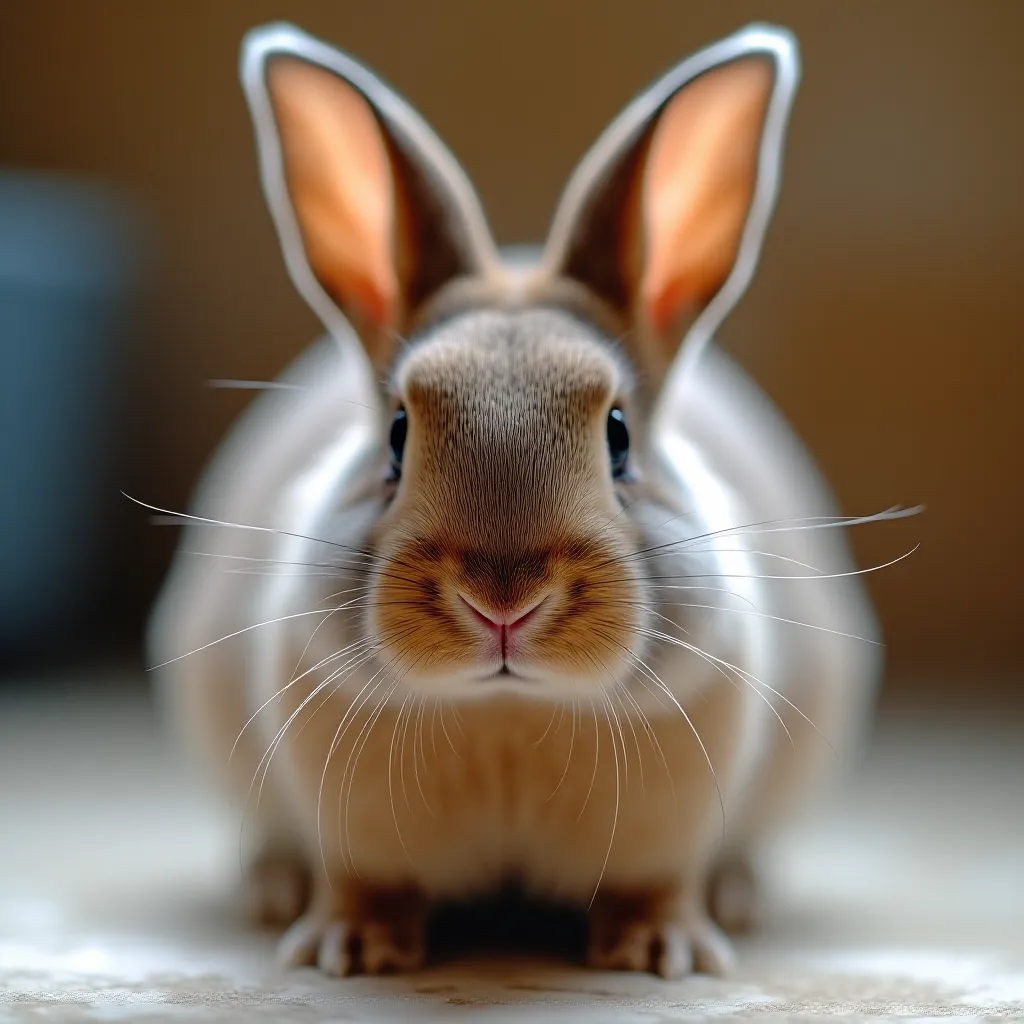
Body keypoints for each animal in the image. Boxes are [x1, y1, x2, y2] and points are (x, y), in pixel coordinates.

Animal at [147, 21, 899, 978]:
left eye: (619, 436)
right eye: (396, 435)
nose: (502, 601)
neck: (505, 710)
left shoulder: (669, 829)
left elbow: (655, 884)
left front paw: (661, 952)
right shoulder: (352, 827)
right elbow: (365, 882)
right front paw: (352, 950)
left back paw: (739, 896)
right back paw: (272, 890)